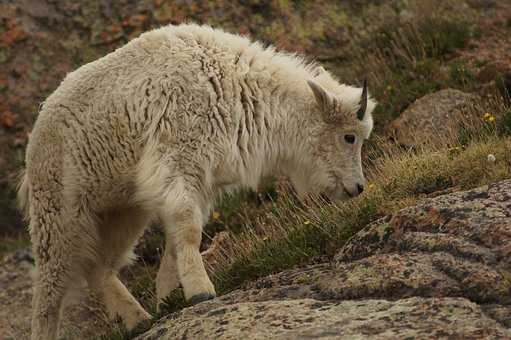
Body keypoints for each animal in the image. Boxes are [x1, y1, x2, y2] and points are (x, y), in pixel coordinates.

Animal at [18, 22, 376, 338]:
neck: (237, 88)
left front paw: (167, 299)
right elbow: (188, 229)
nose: (356, 188)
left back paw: (137, 318)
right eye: (349, 137)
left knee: (98, 266)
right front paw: (201, 292)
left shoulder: (201, 180)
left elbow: (179, 238)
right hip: (59, 211)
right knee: (51, 285)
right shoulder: (180, 161)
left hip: (120, 209)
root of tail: (35, 135)